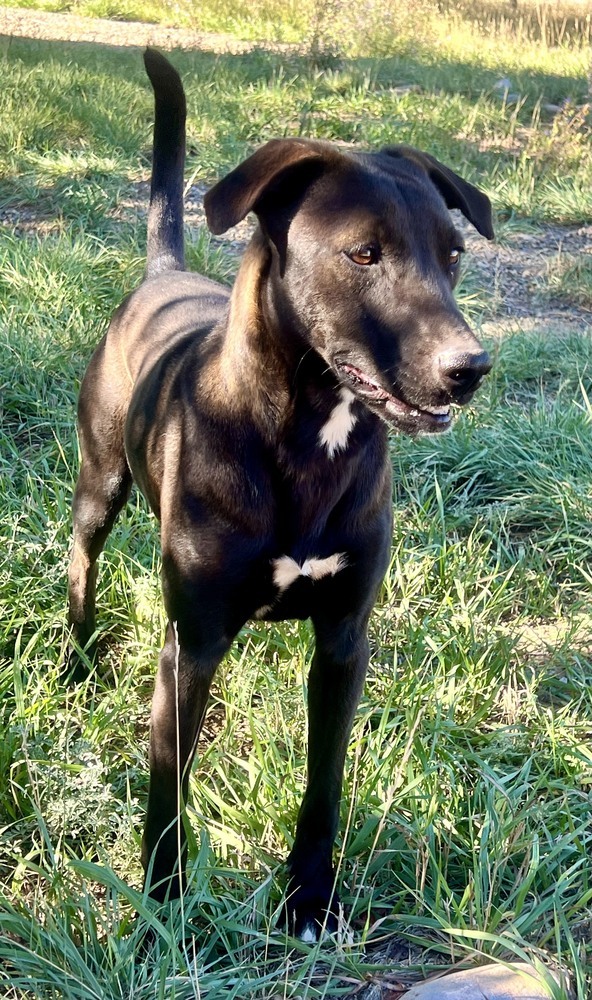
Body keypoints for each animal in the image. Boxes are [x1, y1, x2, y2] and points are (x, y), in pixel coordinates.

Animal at [68, 45, 494, 936]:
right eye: (363, 254)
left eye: (453, 255)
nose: (470, 368)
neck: (305, 437)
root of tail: (166, 271)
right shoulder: (191, 646)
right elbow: (166, 794)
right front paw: (162, 909)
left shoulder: (343, 643)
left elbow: (323, 784)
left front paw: (309, 900)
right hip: (100, 481)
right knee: (80, 558)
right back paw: (75, 661)